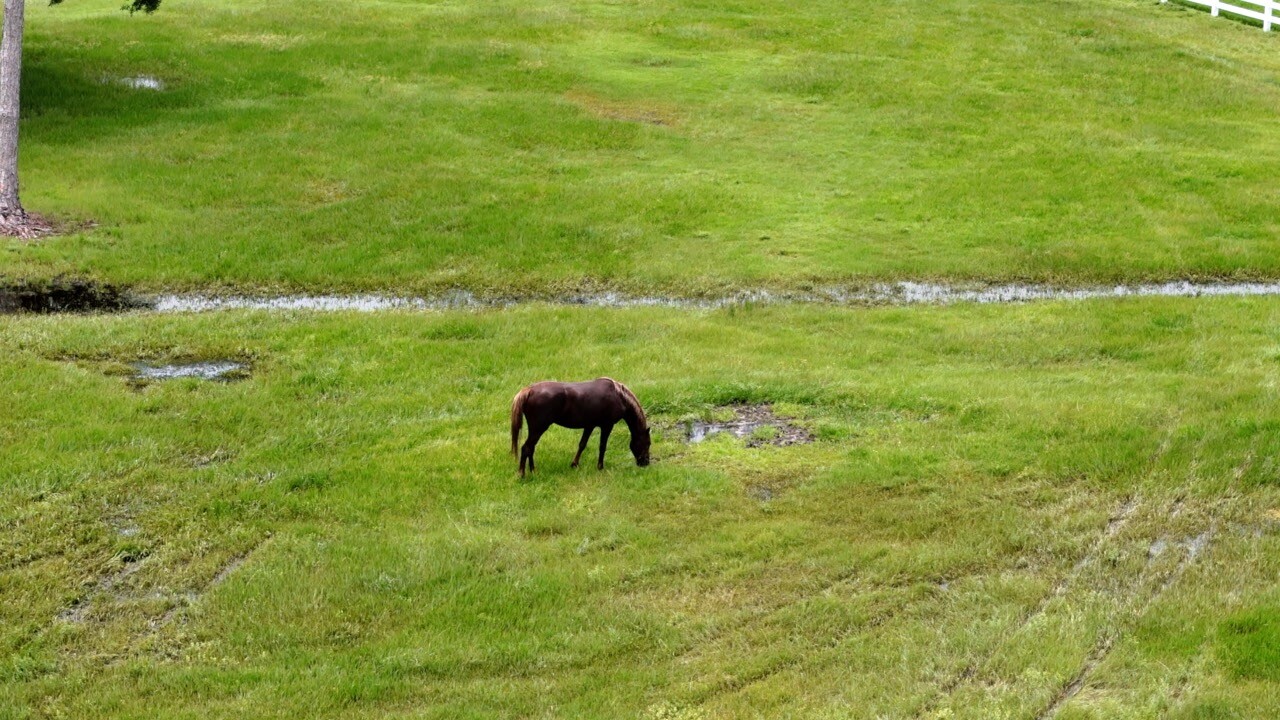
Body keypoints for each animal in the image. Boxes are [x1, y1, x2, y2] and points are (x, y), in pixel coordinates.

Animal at [510, 377, 651, 476]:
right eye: (648, 443)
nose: (645, 463)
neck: (619, 395)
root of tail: (529, 390)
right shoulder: (607, 425)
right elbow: (602, 446)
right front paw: (600, 467)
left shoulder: (589, 425)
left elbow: (582, 444)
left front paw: (574, 464)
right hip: (538, 428)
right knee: (526, 448)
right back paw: (522, 474)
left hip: (535, 430)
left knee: (531, 448)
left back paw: (533, 471)